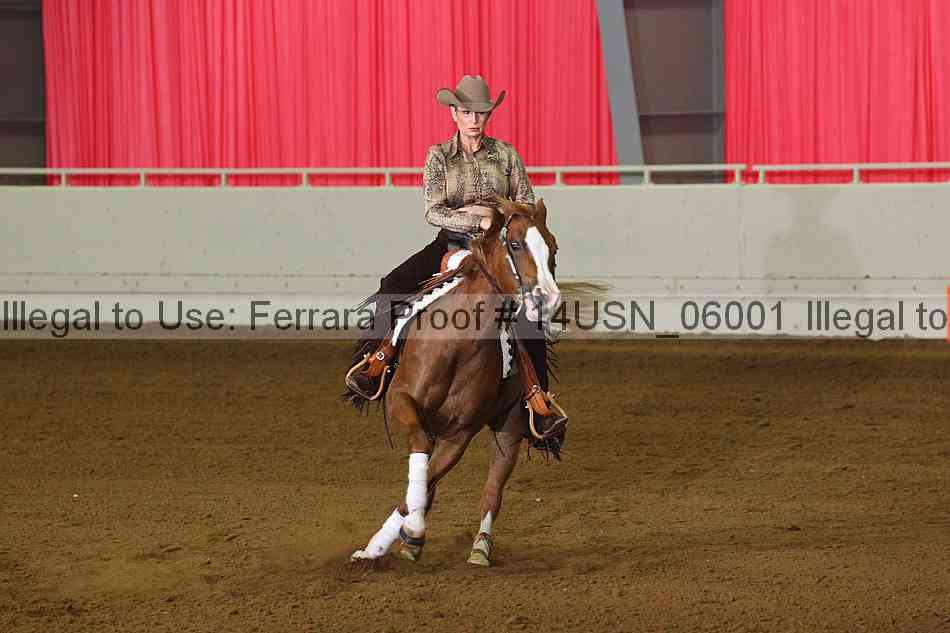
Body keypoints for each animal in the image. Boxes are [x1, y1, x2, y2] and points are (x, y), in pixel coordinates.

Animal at [349, 197, 564, 567]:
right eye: (515, 244)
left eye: (553, 247)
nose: (548, 299)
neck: (457, 344)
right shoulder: (401, 400)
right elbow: (421, 457)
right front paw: (387, 542)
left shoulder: (460, 432)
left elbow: (430, 477)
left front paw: (399, 536)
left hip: (509, 425)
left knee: (492, 490)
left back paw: (479, 548)